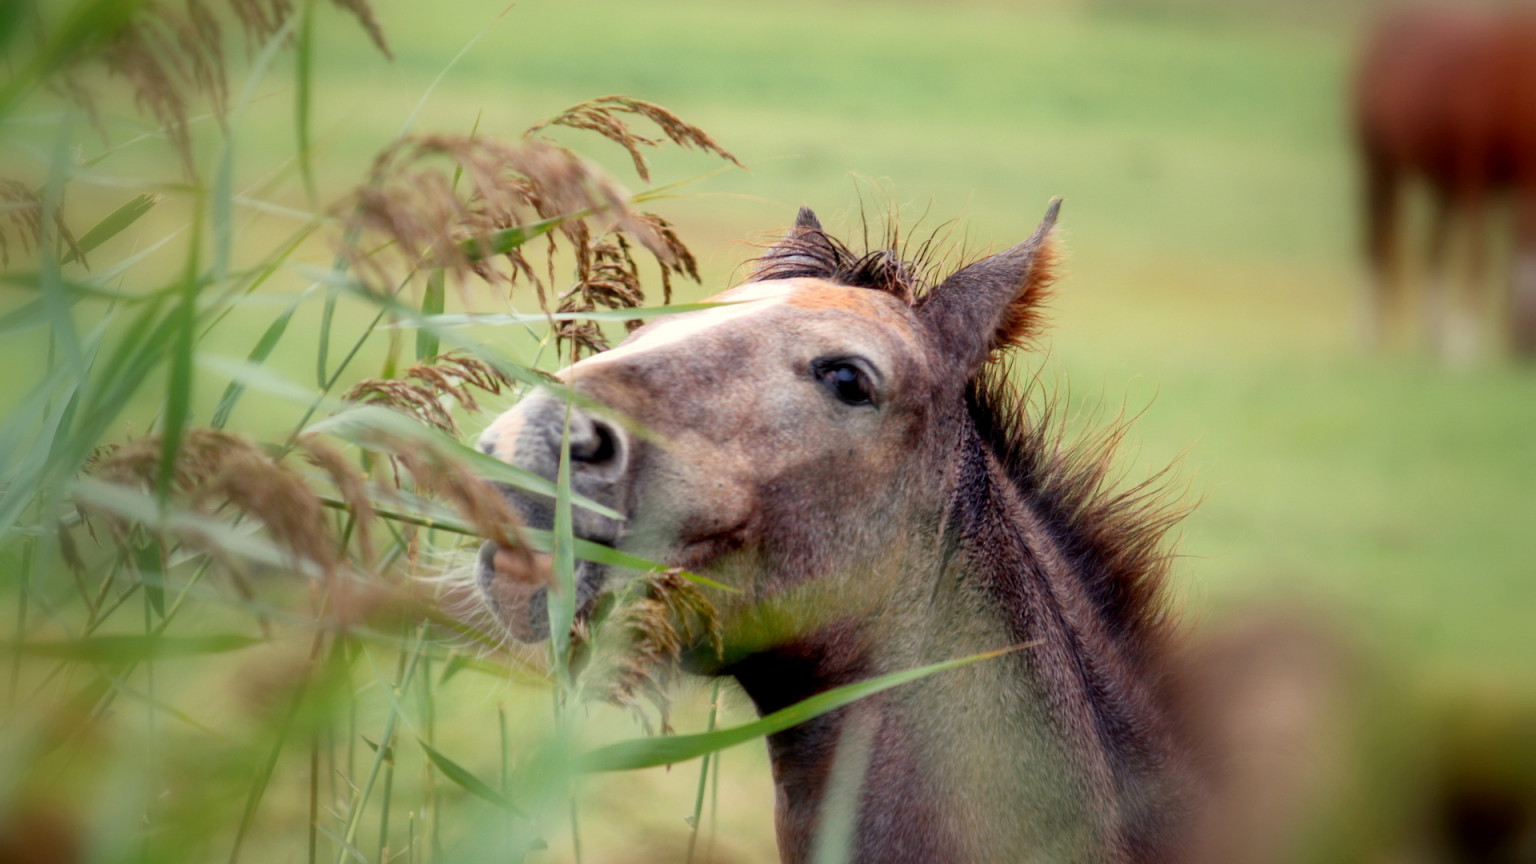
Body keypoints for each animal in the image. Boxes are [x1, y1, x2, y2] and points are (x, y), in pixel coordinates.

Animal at [1363, 4, 1536, 356]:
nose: (1524, 349)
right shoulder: (1475, 175)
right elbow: (1479, 254)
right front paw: (1465, 343)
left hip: (1442, 185)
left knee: (1434, 250)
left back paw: (1433, 337)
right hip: (1379, 165)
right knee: (1375, 239)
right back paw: (1370, 336)